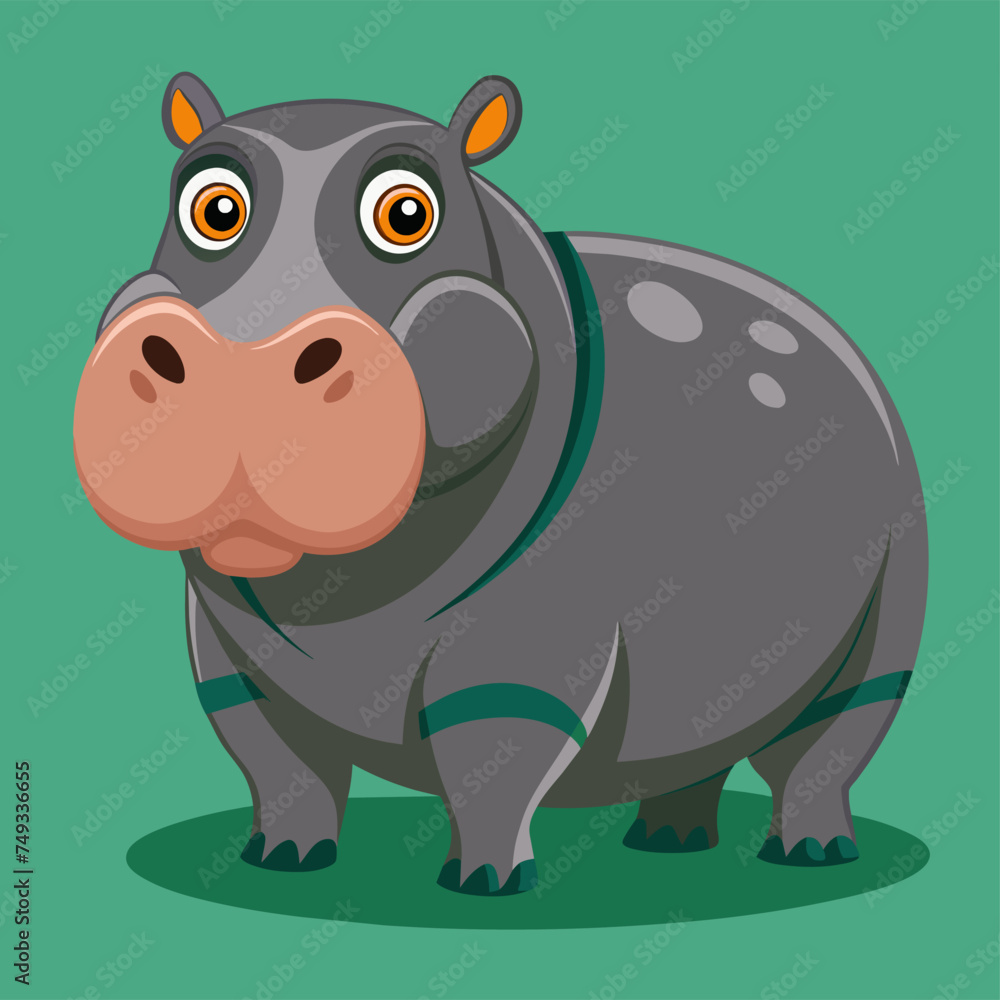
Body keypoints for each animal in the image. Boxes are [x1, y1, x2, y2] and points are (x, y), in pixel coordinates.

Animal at [73, 73, 927, 896]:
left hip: (886, 622)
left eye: (406, 213)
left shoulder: (527, 642)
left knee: (827, 744)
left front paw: (482, 883)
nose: (240, 363)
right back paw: (668, 842)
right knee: (704, 744)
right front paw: (281, 861)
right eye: (212, 207)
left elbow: (493, 750)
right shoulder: (226, 654)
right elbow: (277, 761)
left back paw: (811, 855)